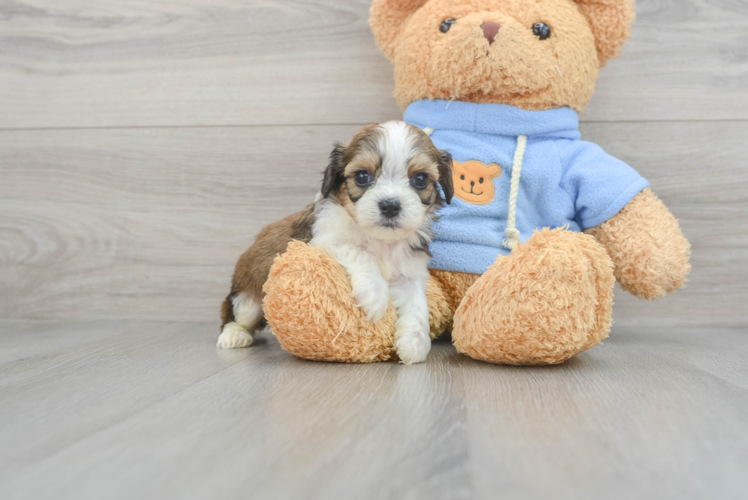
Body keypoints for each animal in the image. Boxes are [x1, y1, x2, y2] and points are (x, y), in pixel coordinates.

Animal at [216, 121, 450, 364]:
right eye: (362, 176)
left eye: (420, 179)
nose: (390, 205)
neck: (380, 240)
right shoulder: (323, 239)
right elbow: (360, 253)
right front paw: (375, 294)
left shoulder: (410, 269)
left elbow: (417, 303)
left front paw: (415, 342)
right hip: (248, 297)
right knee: (234, 313)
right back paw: (234, 335)